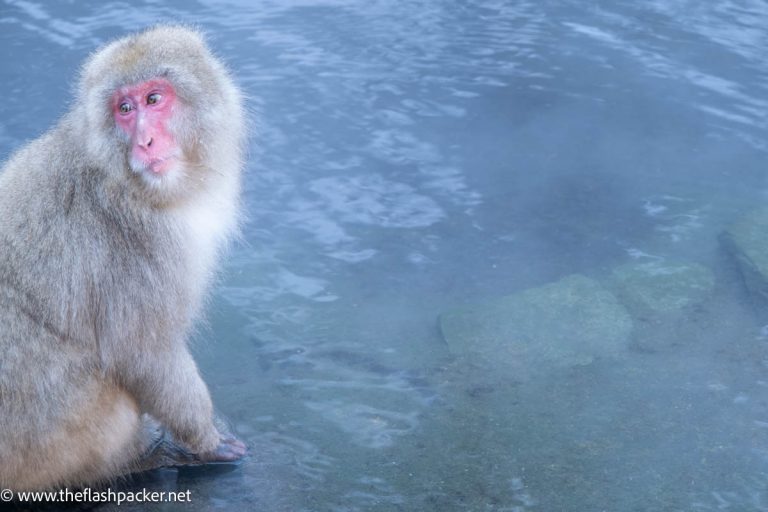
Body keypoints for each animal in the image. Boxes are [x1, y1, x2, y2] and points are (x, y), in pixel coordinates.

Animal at [0, 26, 248, 490]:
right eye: (125, 109)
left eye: (154, 98)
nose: (145, 142)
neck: (126, 183)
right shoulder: (135, 249)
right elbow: (146, 356)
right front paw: (204, 439)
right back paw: (142, 457)